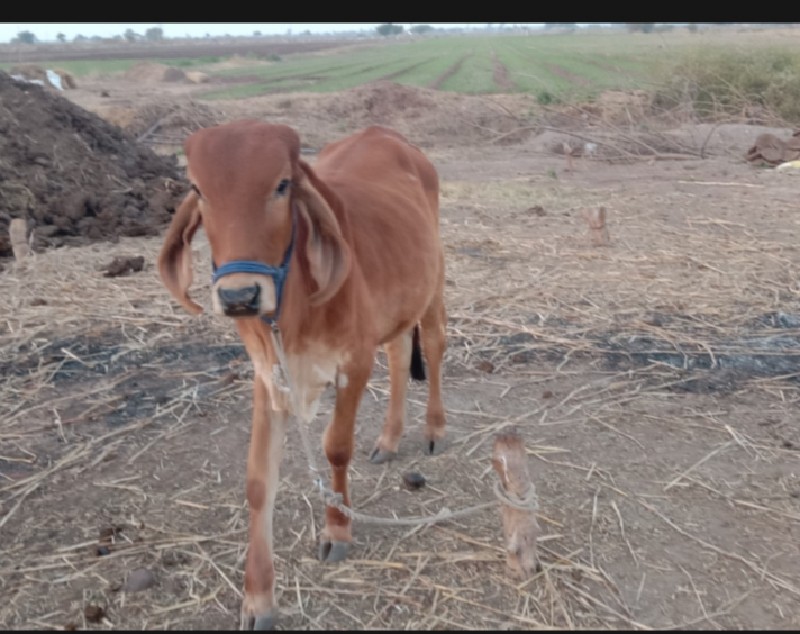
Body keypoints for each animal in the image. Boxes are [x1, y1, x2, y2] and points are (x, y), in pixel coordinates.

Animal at [153, 119, 446, 628]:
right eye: (197, 188)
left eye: (282, 185)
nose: (239, 297)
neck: (290, 310)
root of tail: (385, 134)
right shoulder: (268, 376)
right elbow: (258, 481)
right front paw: (258, 598)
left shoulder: (353, 363)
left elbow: (336, 449)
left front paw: (338, 531)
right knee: (397, 353)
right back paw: (389, 439)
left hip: (432, 287)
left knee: (432, 345)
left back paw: (434, 429)